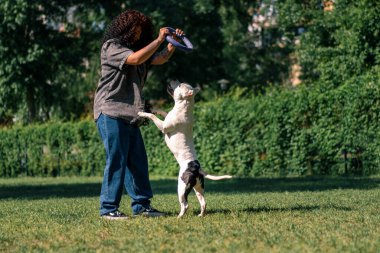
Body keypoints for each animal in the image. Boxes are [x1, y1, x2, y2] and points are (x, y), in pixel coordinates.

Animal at [138, 80, 230, 216]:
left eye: (180, 85)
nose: (173, 79)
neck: (183, 106)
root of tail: (197, 168)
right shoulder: (166, 117)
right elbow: (162, 112)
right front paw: (154, 108)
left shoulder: (163, 126)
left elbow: (153, 117)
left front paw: (143, 113)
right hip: (198, 187)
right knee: (203, 202)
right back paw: (200, 215)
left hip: (182, 187)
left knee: (185, 204)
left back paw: (179, 216)